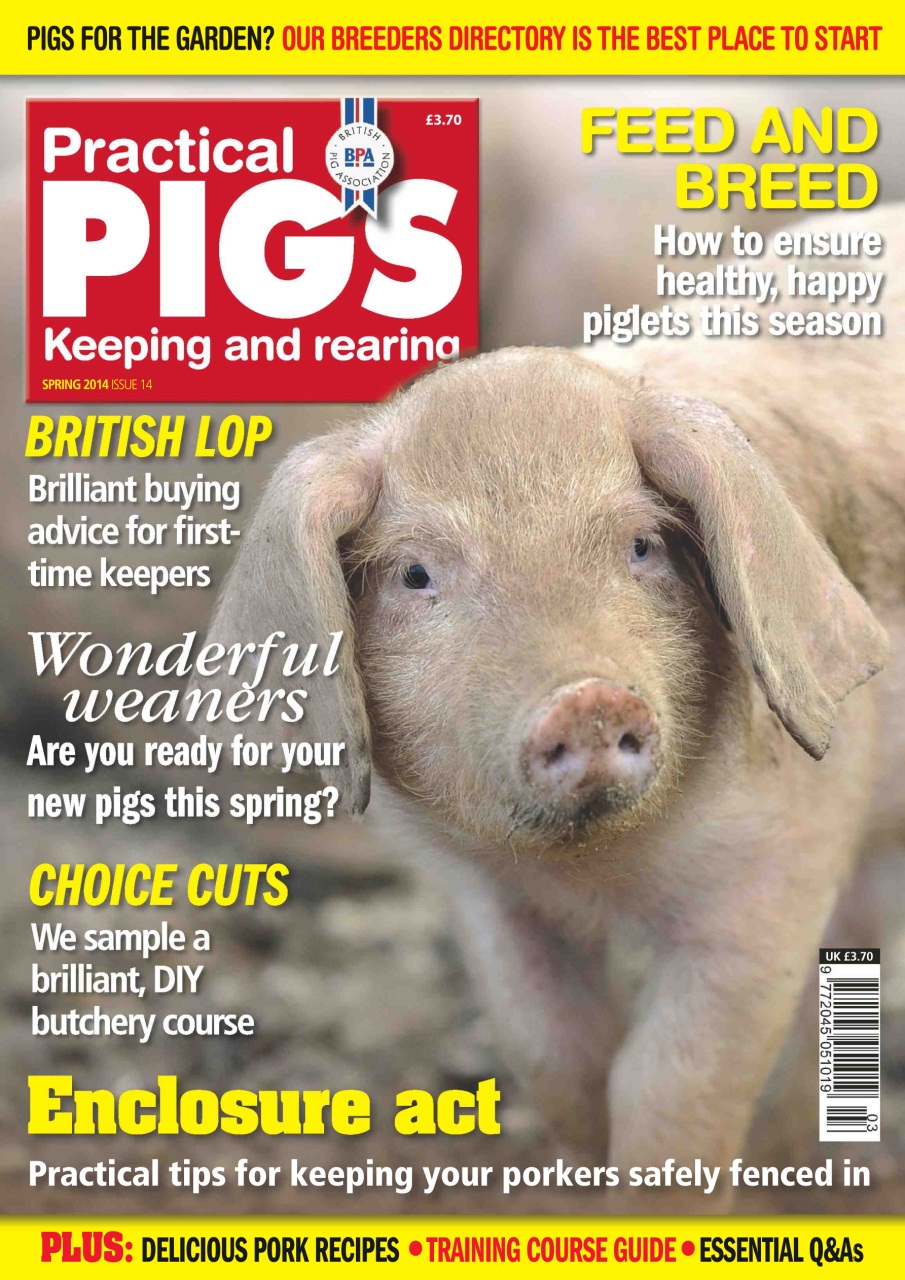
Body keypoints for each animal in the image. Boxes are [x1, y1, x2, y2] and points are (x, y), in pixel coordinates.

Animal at [193, 208, 904, 1209]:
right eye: (416, 574)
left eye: (642, 545)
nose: (587, 697)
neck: (593, 873)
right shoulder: (480, 891)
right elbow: (553, 1051)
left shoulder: (779, 865)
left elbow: (672, 1081)